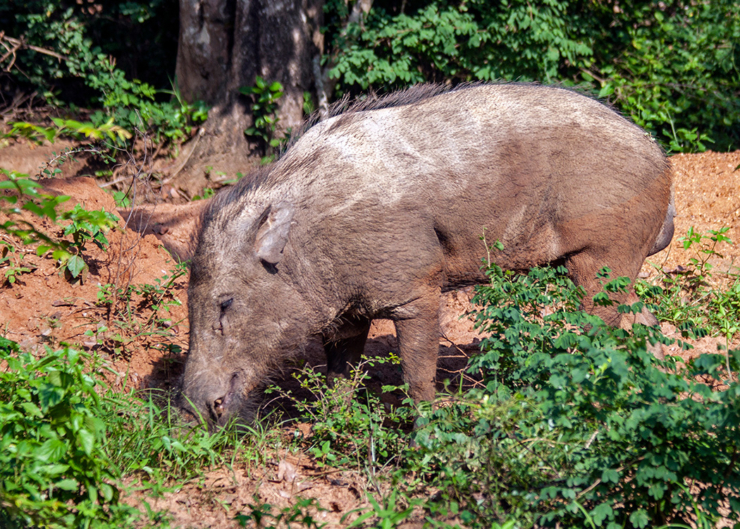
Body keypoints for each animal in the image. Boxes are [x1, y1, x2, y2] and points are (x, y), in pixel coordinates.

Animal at [181, 83, 674, 426]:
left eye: (225, 303)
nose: (190, 410)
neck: (312, 237)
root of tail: (662, 158)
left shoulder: (417, 289)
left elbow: (416, 376)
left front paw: (426, 436)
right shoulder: (348, 315)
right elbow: (339, 375)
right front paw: (328, 426)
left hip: (603, 259)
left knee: (603, 336)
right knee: (647, 324)